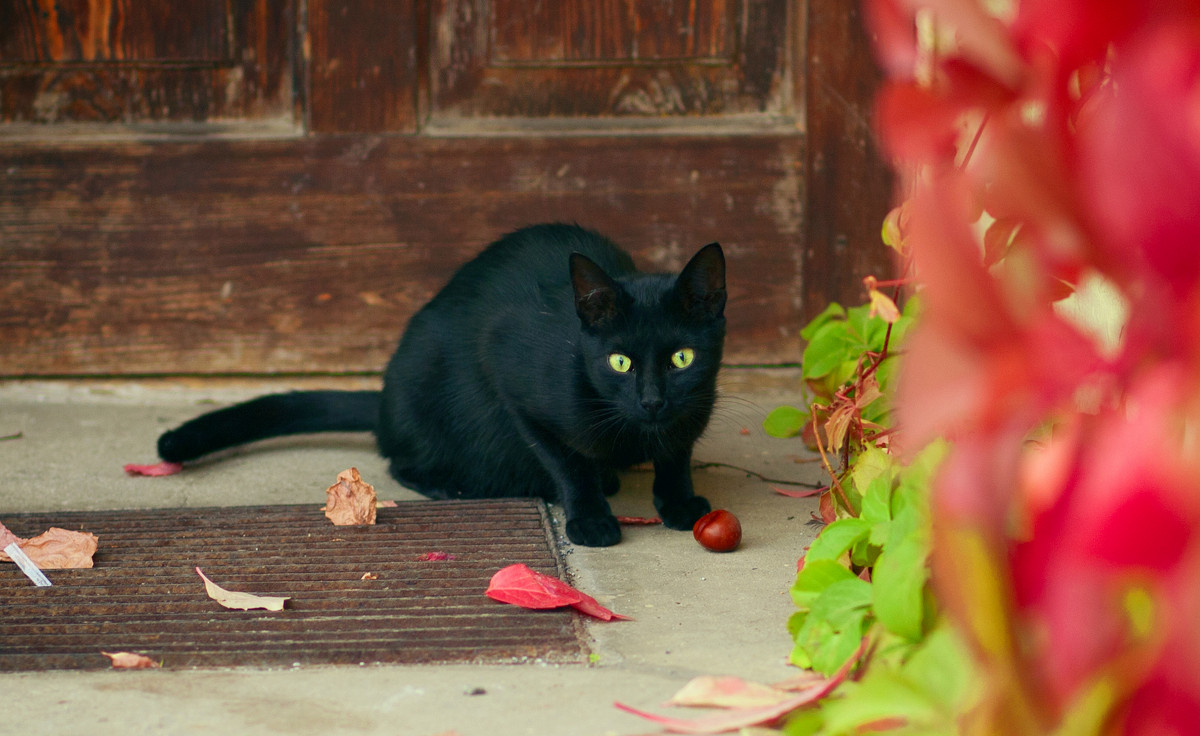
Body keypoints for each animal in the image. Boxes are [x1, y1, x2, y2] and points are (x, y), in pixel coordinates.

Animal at [156, 223, 724, 545]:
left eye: (681, 358)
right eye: (620, 362)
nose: (652, 400)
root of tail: (384, 402)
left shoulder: (693, 410)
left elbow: (675, 456)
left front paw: (677, 503)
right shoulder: (514, 380)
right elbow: (566, 464)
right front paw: (588, 517)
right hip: (425, 396)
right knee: (402, 461)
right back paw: (458, 485)